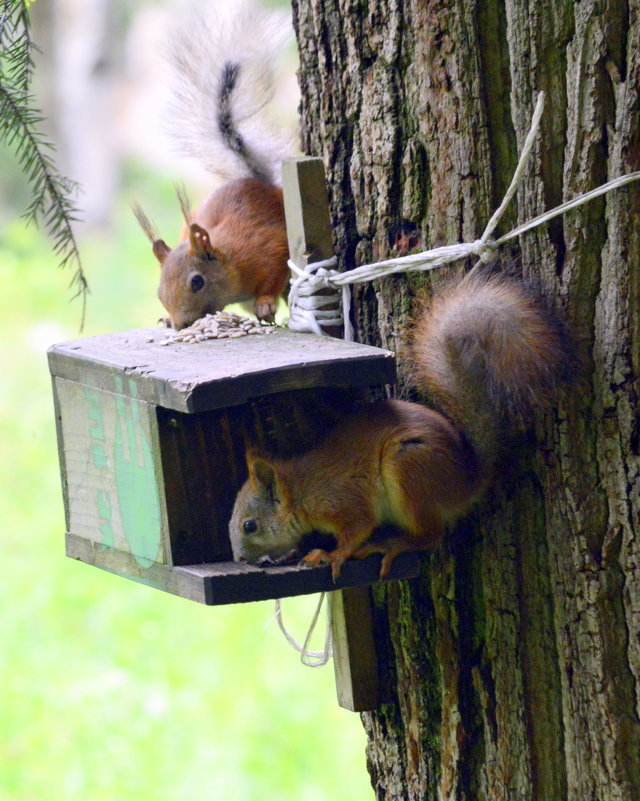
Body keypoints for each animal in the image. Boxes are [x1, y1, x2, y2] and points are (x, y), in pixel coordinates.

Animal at [136, 9, 296, 328]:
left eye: (197, 282)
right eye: (160, 292)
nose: (182, 324)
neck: (232, 262)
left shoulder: (270, 248)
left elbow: (273, 276)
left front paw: (264, 304)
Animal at [229, 272, 568, 580]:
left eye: (250, 525)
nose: (241, 559)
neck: (299, 493)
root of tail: (466, 482)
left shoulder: (343, 501)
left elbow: (357, 529)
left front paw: (331, 555)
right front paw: (295, 551)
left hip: (409, 468)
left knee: (430, 535)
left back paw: (391, 545)